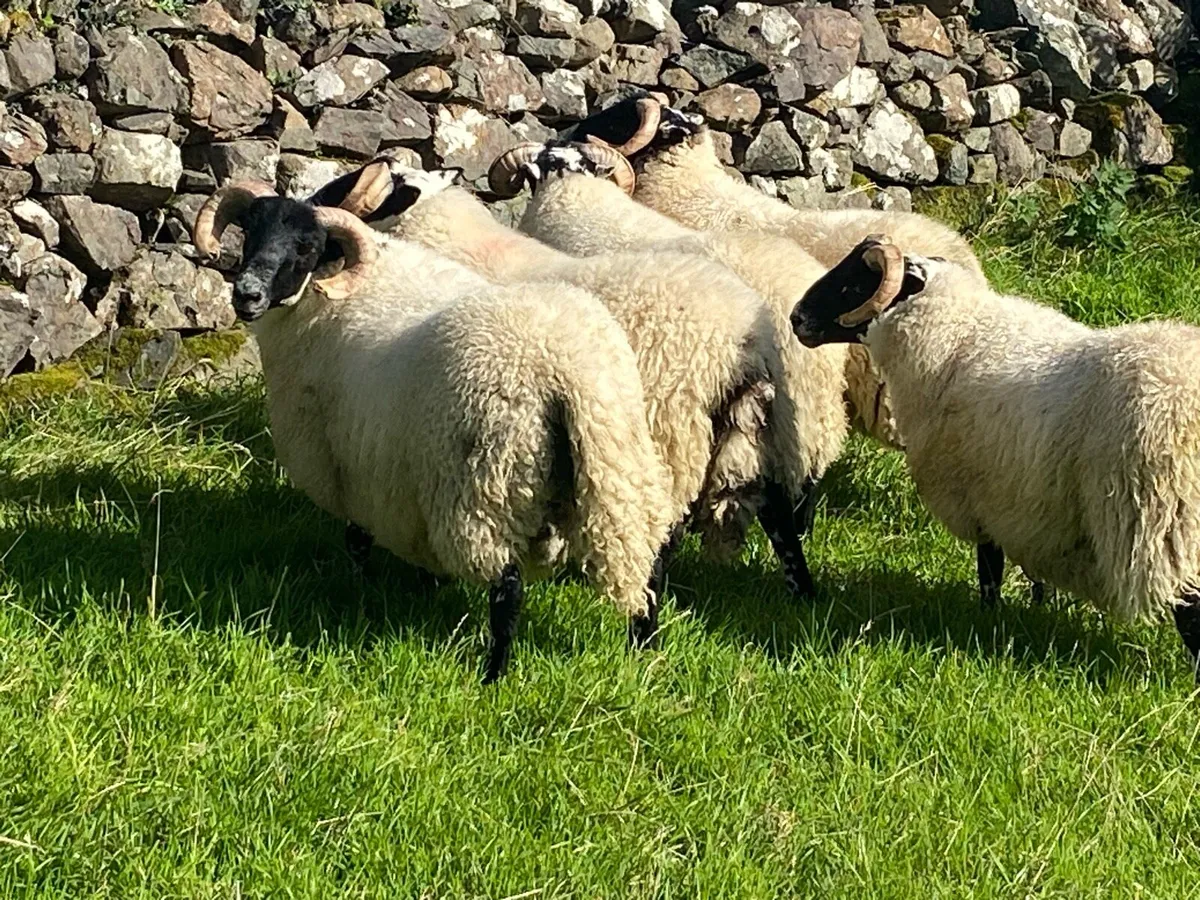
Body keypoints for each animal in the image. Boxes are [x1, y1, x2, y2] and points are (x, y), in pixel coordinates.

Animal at [191, 180, 677, 682]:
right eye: (250, 230)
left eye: (306, 246)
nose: (247, 294)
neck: (328, 297)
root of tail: (565, 366)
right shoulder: (405, 483)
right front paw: (424, 587)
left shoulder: (351, 465)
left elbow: (357, 541)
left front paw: (361, 592)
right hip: (618, 466)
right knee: (649, 566)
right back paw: (645, 652)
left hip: (486, 488)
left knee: (507, 589)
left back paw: (494, 675)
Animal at [317, 157, 823, 599]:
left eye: (391, 186)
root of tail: (745, 341)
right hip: (758, 430)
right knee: (778, 513)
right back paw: (802, 592)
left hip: (671, 434)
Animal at [791, 234, 1200, 677]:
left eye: (853, 286)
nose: (796, 318)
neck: (956, 334)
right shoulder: (1028, 509)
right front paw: (1034, 607)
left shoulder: (979, 497)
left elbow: (989, 568)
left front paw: (990, 616)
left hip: (1171, 523)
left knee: (1191, 612)